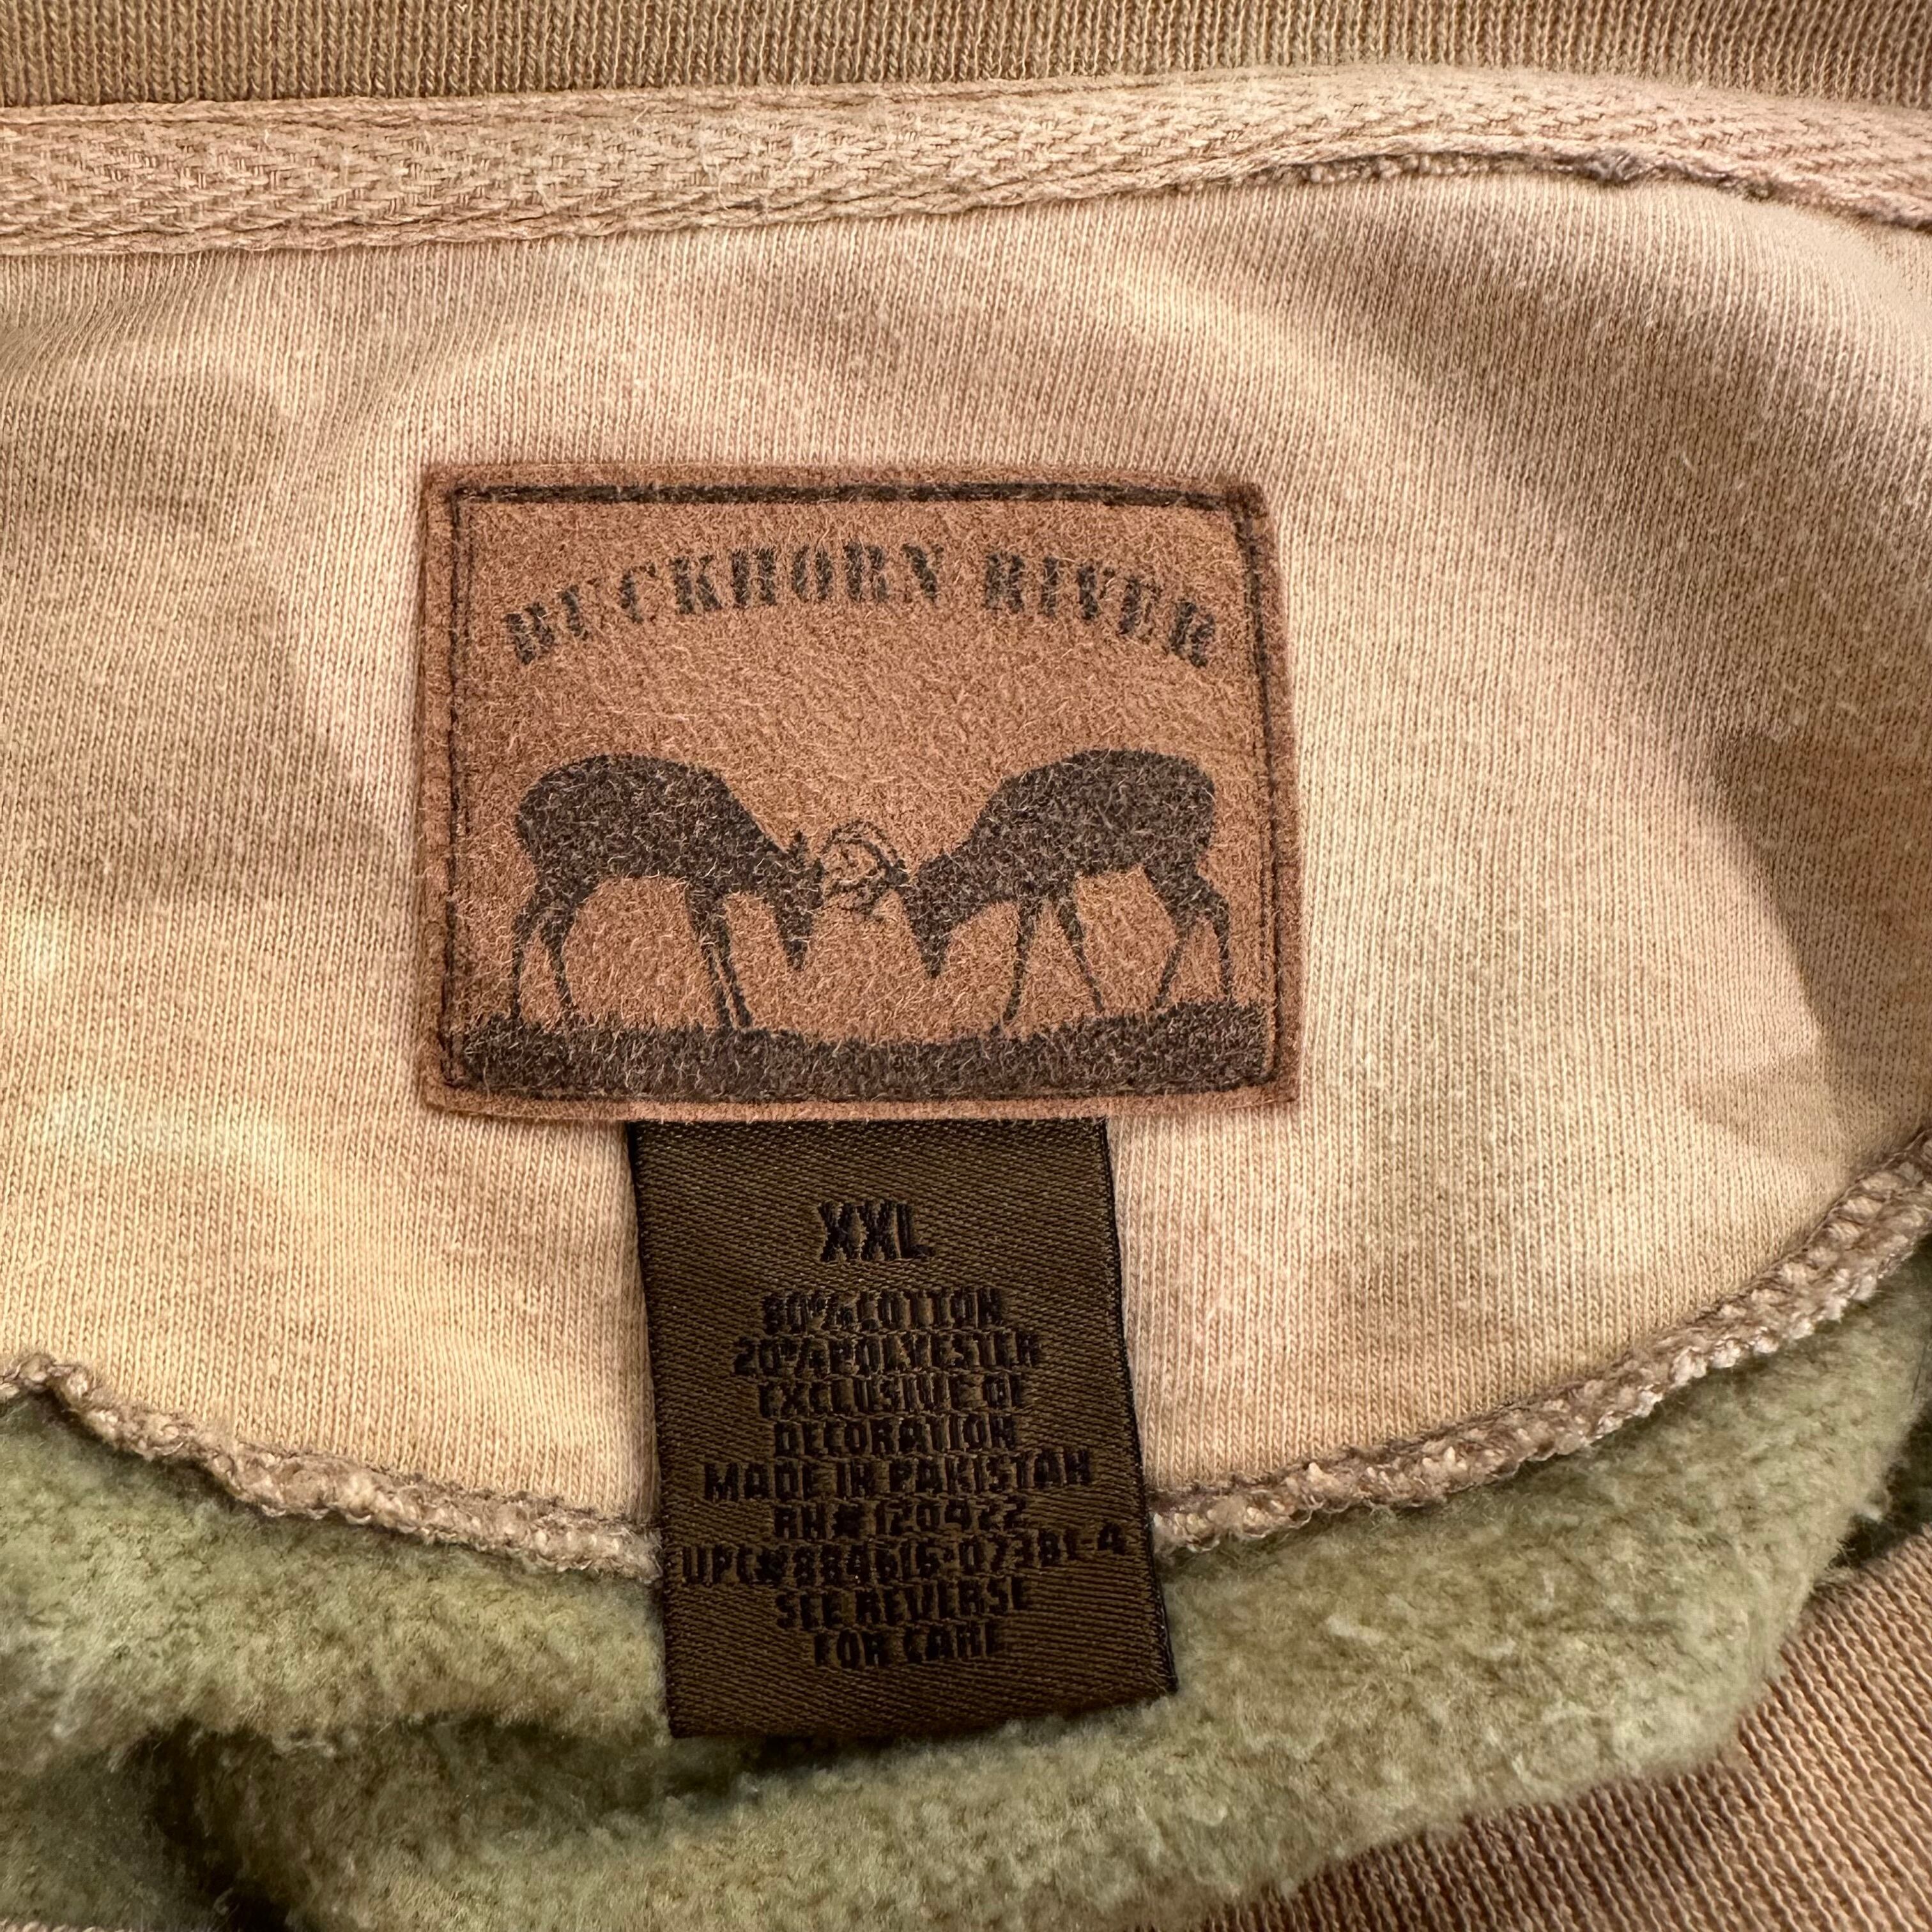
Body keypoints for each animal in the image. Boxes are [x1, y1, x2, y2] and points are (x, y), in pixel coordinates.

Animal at [507, 755, 823, 1032]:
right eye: (791, 899)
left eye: (817, 906)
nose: (798, 955)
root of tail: (521, 817)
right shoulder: (699, 885)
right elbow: (711, 943)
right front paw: (729, 1018)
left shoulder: (710, 890)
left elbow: (721, 943)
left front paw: (740, 1017)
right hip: (561, 873)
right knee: (527, 922)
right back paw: (521, 1013)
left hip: (578, 880)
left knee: (547, 928)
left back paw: (563, 1016)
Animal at [819, 748, 1233, 1033]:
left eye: (924, 911)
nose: (932, 965)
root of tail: (1212, 790)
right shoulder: (1049, 884)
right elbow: (1062, 938)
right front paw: (1098, 1006)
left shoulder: (1043, 880)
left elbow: (1033, 945)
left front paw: (1007, 1021)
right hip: (1169, 863)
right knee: (1203, 908)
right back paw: (1183, 1000)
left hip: (1168, 859)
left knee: (1207, 907)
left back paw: (1204, 999)